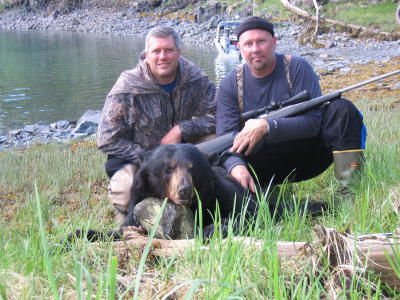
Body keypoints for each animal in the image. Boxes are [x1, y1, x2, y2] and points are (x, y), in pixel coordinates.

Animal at [122, 143, 258, 239]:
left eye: (193, 169)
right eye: (169, 168)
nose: (184, 190)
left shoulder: (219, 194)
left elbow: (248, 214)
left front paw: (210, 229)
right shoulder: (138, 197)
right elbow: (128, 223)